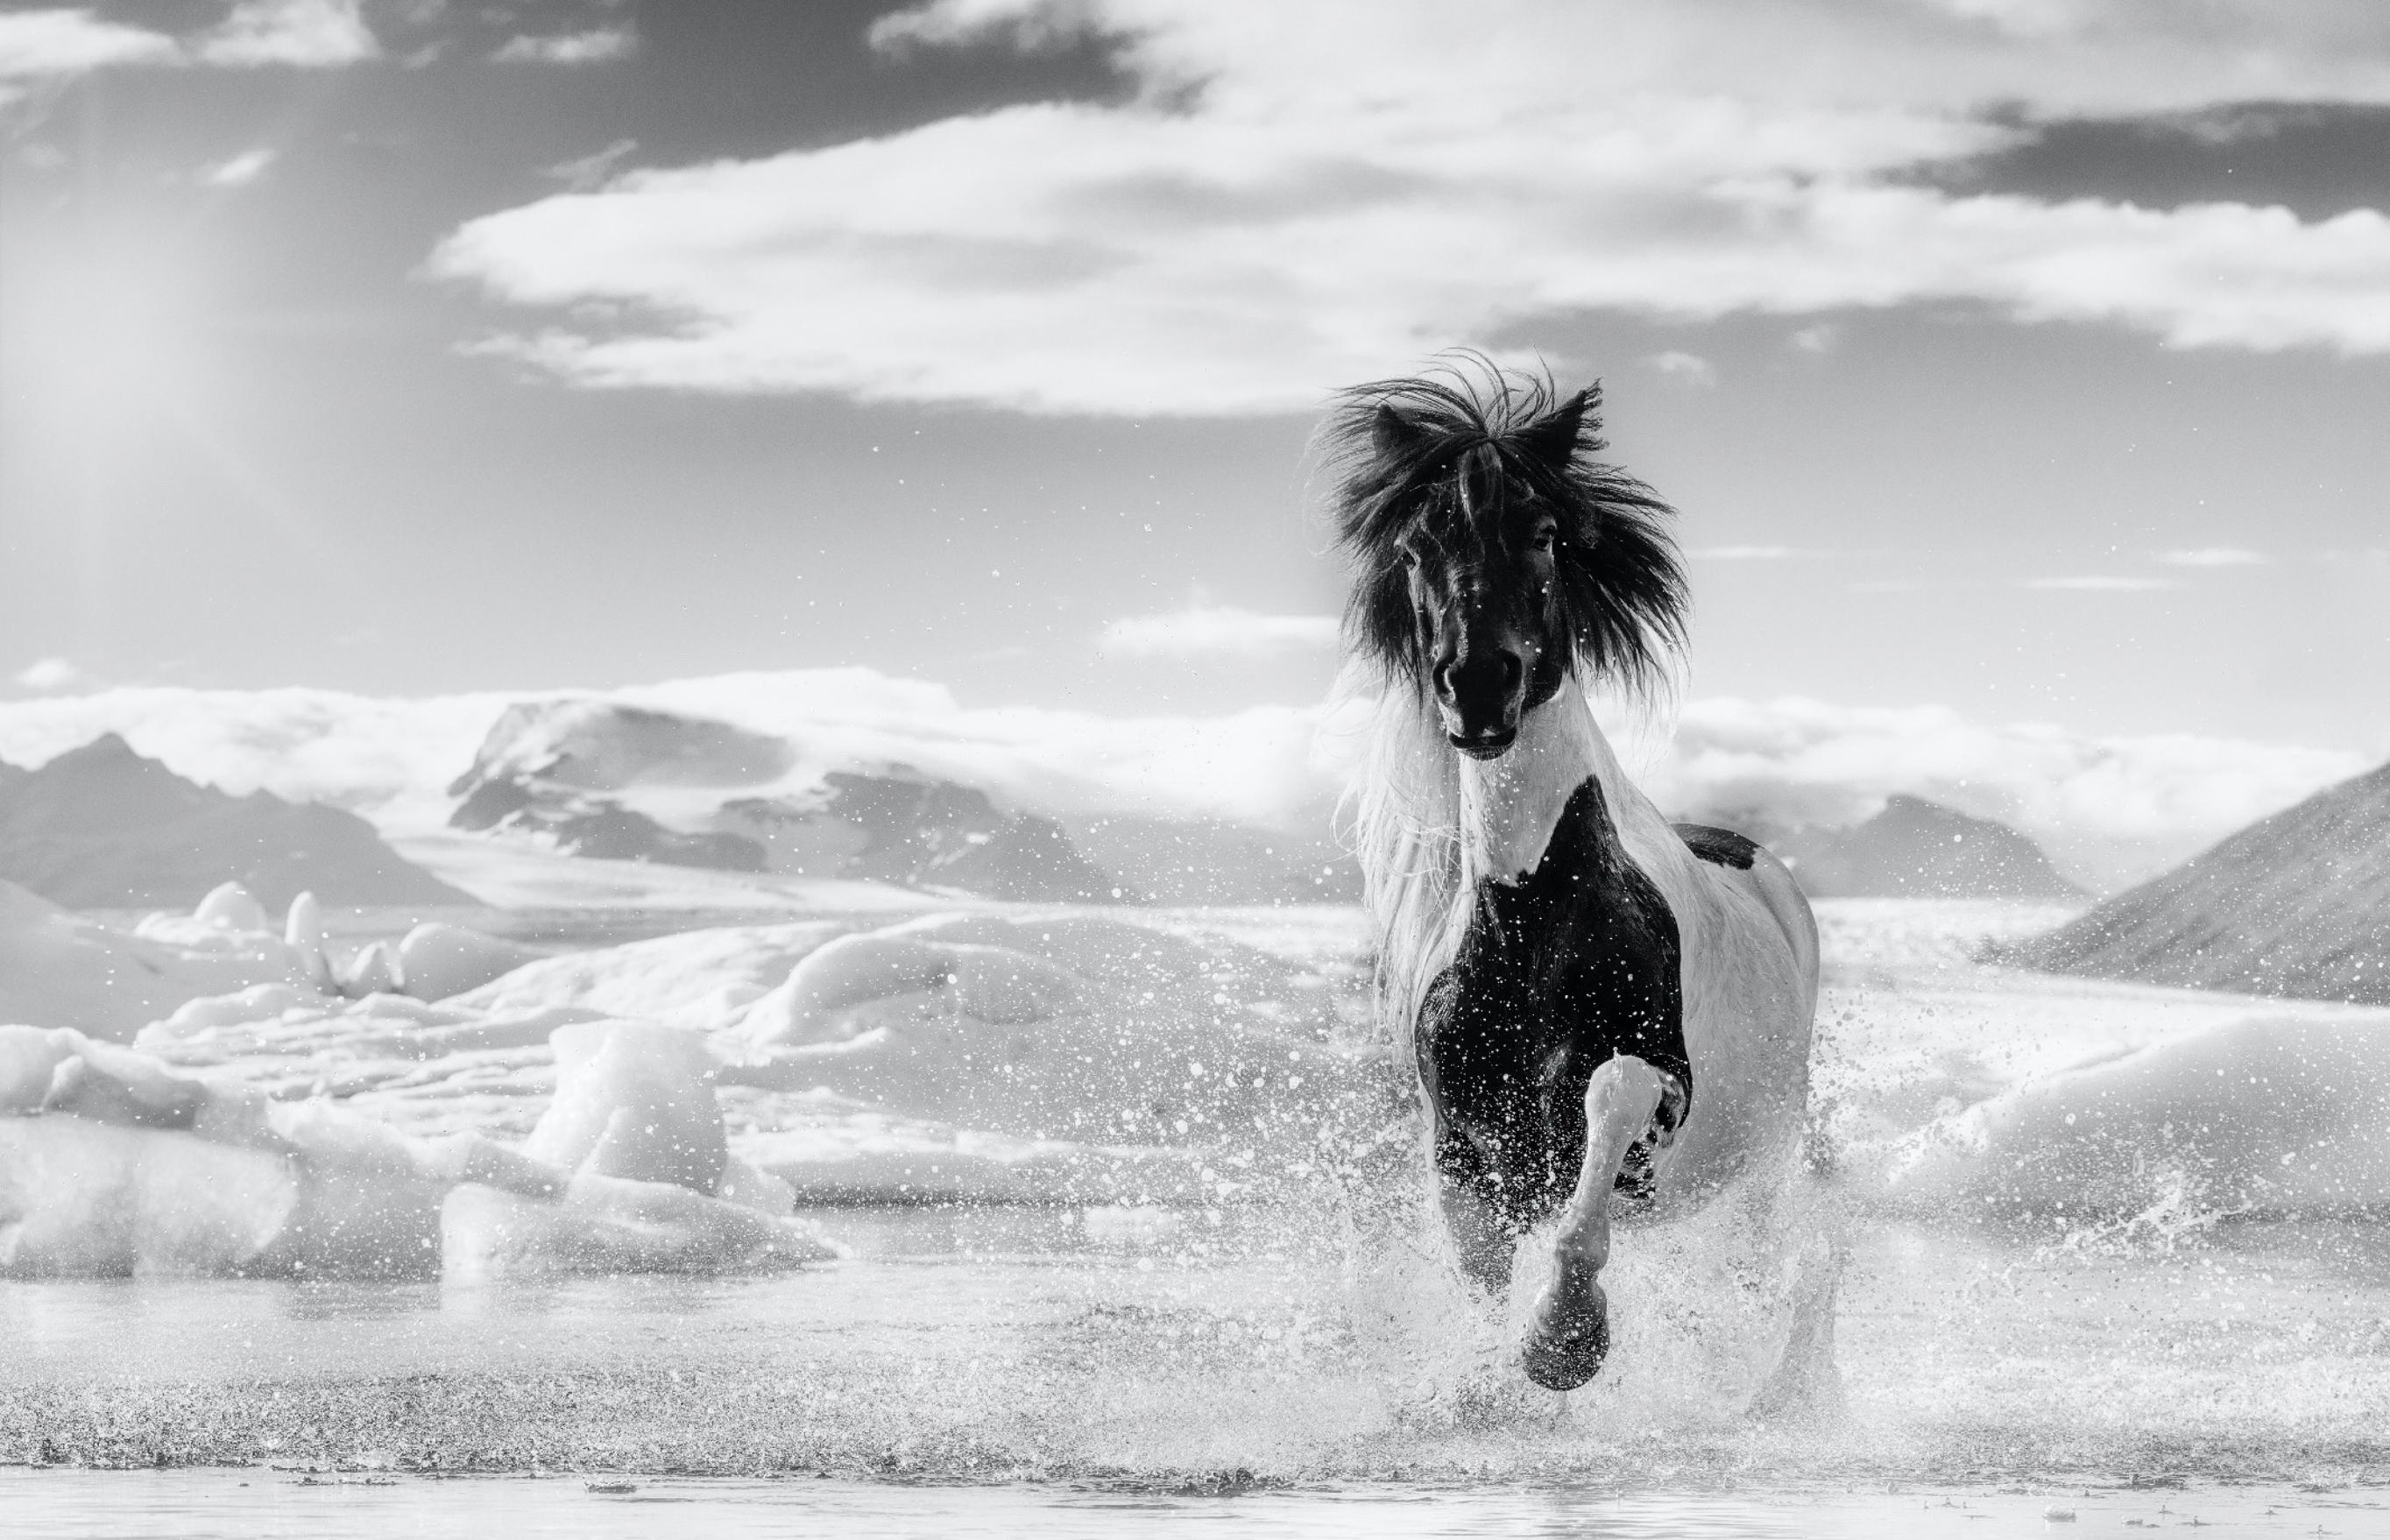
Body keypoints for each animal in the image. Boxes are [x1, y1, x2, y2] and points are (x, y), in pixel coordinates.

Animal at [1328, 363, 1807, 1396]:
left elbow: (1607, 1106)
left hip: (1762, 1170)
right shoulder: (1463, 1148)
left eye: (1543, 532)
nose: (1477, 686)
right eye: (1416, 548)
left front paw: (1565, 1338)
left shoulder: (1658, 1081)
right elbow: (1476, 1279)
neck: (1530, 916)